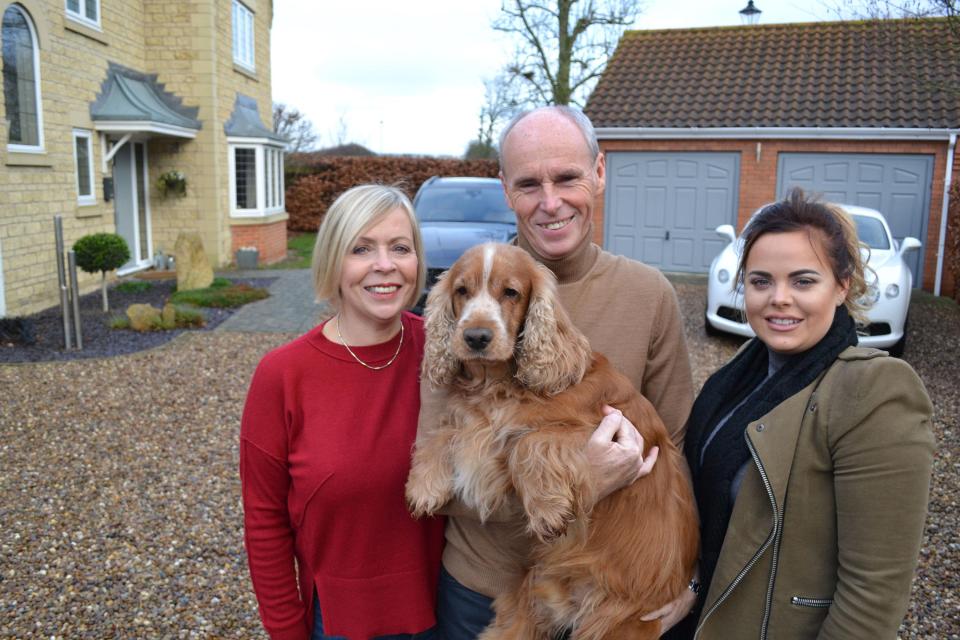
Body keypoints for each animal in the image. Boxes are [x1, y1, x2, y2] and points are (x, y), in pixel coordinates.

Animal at [404, 242, 696, 636]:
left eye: (511, 292)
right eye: (461, 290)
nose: (476, 337)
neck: (498, 383)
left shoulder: (611, 428)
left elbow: (532, 441)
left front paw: (547, 510)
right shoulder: (477, 423)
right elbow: (445, 432)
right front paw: (423, 485)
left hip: (619, 625)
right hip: (533, 596)